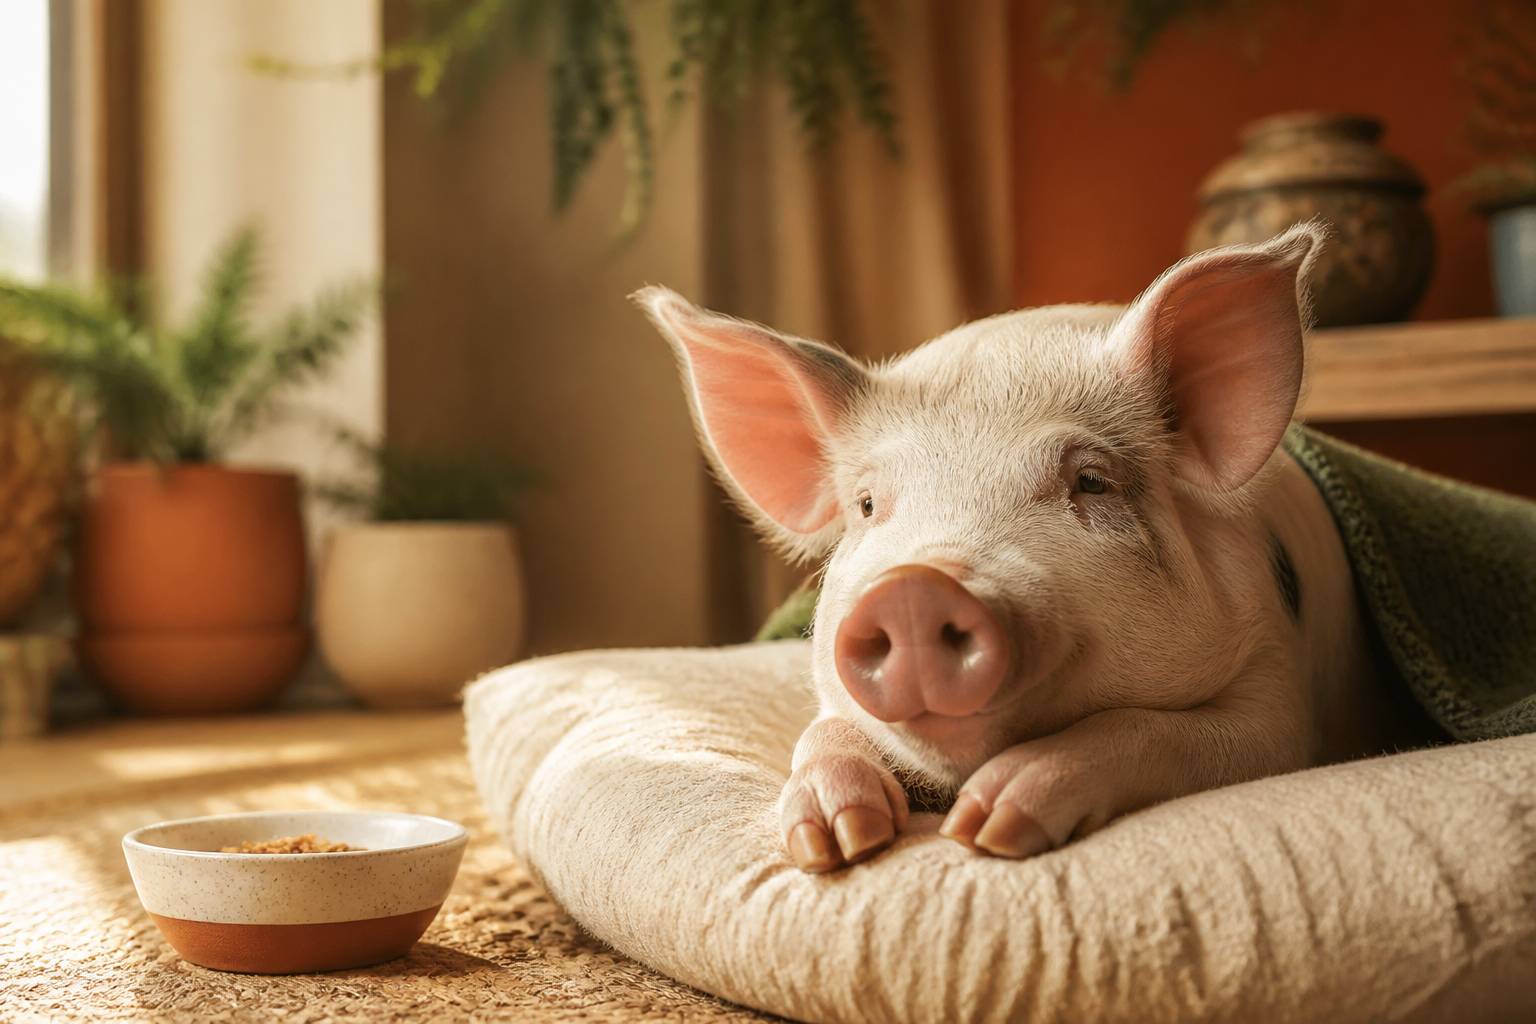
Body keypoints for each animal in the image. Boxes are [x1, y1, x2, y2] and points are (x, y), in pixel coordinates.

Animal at [635, 224, 1434, 873]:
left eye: (1092, 482)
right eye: (866, 506)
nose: (915, 589)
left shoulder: (1279, 693)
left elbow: (1165, 730)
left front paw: (989, 830)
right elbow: (824, 732)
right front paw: (835, 843)